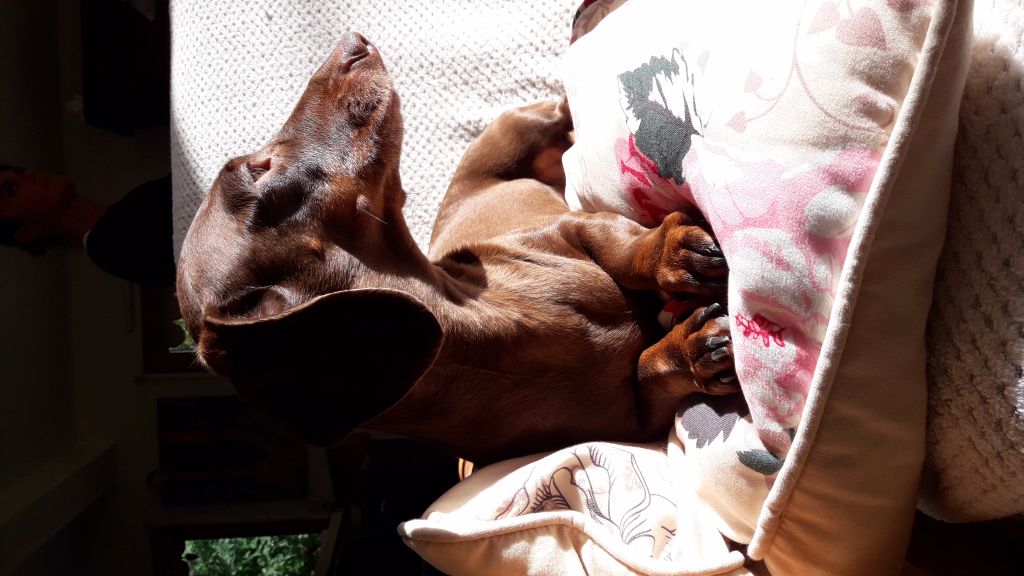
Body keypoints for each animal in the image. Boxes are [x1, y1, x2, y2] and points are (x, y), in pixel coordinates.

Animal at [176, 33, 737, 466]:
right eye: (258, 169)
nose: (351, 44)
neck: (485, 343)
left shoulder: (570, 229)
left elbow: (623, 248)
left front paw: (670, 254)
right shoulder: (632, 422)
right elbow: (647, 374)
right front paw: (690, 351)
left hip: (529, 123)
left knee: (560, 109)